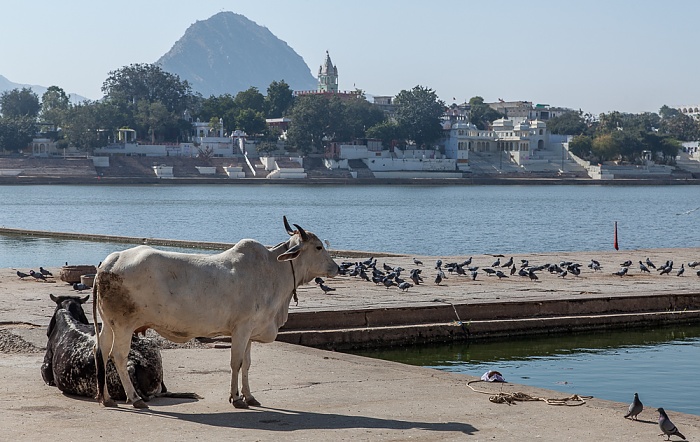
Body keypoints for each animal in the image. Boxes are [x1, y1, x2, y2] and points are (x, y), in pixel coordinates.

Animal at [93, 216, 339, 409]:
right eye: (318, 247)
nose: (337, 268)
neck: (274, 272)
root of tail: (108, 263)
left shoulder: (250, 332)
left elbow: (247, 363)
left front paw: (249, 396)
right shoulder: (241, 329)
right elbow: (236, 362)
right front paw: (236, 398)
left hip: (109, 324)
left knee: (101, 350)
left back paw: (107, 398)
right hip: (124, 325)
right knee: (119, 356)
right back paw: (135, 399)